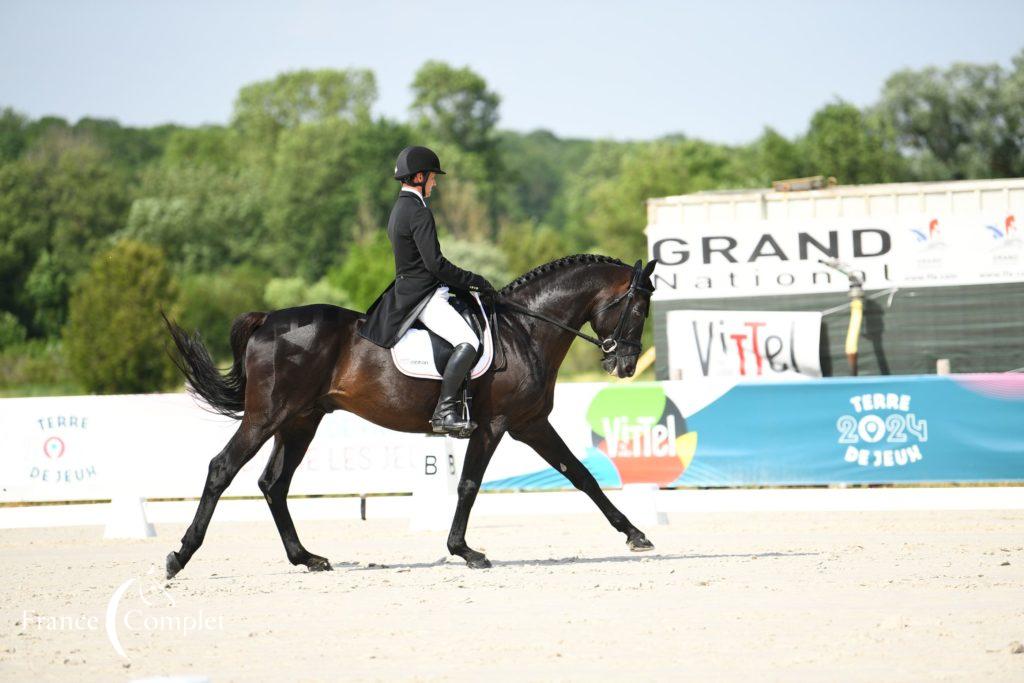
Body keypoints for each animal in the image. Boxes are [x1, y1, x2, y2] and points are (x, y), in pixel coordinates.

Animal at [159, 253, 655, 581]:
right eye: (638, 307)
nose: (626, 365)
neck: (527, 331)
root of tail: (267, 321)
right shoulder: (495, 426)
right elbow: (469, 484)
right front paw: (465, 551)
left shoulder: (530, 424)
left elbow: (581, 476)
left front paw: (635, 534)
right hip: (266, 418)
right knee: (222, 469)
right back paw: (179, 557)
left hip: (299, 421)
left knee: (273, 484)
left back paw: (308, 558)